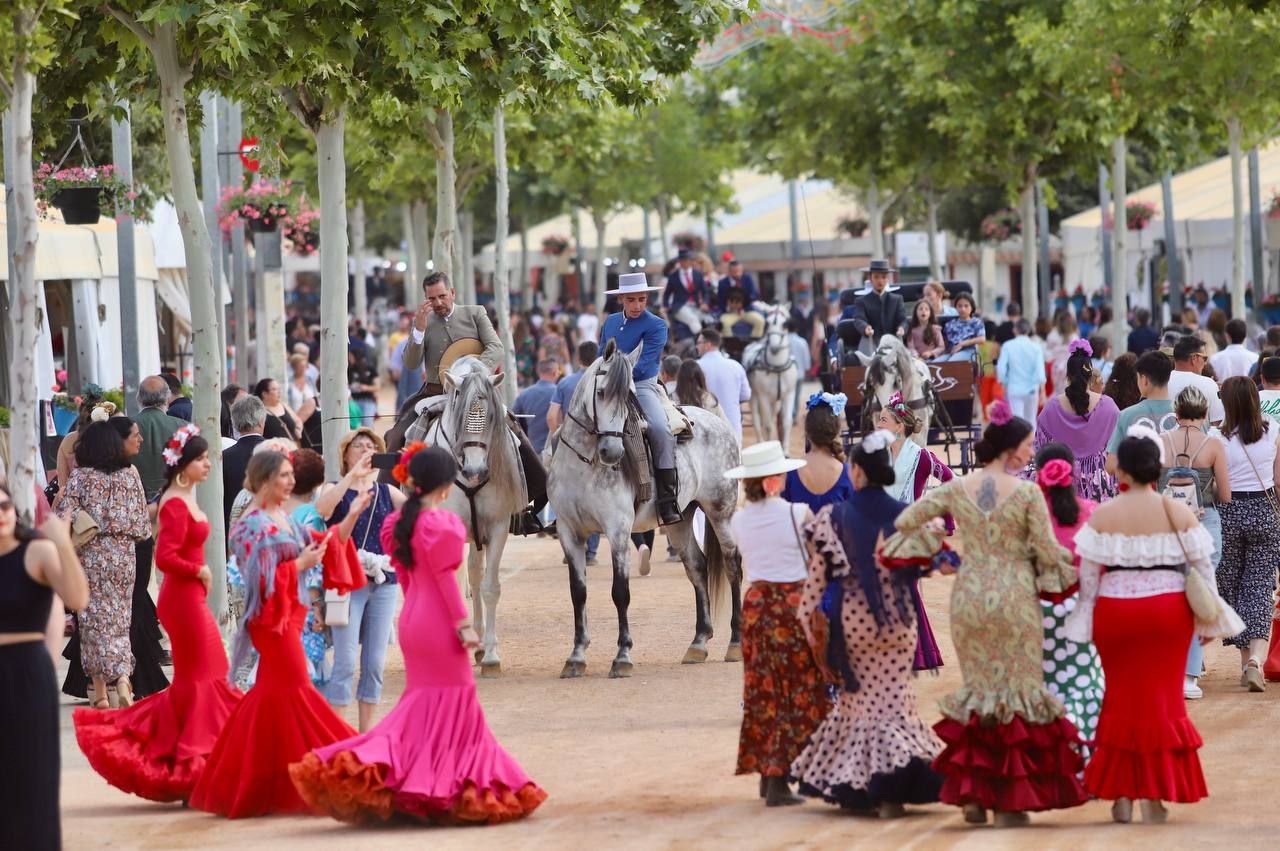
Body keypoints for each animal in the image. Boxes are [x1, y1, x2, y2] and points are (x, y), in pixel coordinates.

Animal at [427, 355, 527, 675]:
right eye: (460, 414)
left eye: (491, 417)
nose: (475, 471)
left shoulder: (496, 527)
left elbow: (489, 587)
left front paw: (492, 655)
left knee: (475, 575)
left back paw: (481, 645)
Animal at [547, 337, 747, 675]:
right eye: (601, 392)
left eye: (628, 395)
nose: (613, 452)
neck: (584, 463)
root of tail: (718, 423)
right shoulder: (568, 531)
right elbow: (578, 592)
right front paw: (576, 656)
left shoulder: (617, 530)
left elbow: (620, 592)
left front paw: (622, 655)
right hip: (680, 520)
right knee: (697, 566)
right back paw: (698, 642)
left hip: (721, 513)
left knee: (733, 564)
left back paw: (735, 642)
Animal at [742, 305, 798, 450]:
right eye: (767, 323)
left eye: (785, 324)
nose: (774, 348)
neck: (776, 367)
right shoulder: (764, 397)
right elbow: (767, 426)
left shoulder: (789, 394)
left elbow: (787, 422)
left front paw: (785, 450)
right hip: (754, 395)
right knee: (757, 419)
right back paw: (761, 441)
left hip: (776, 400)